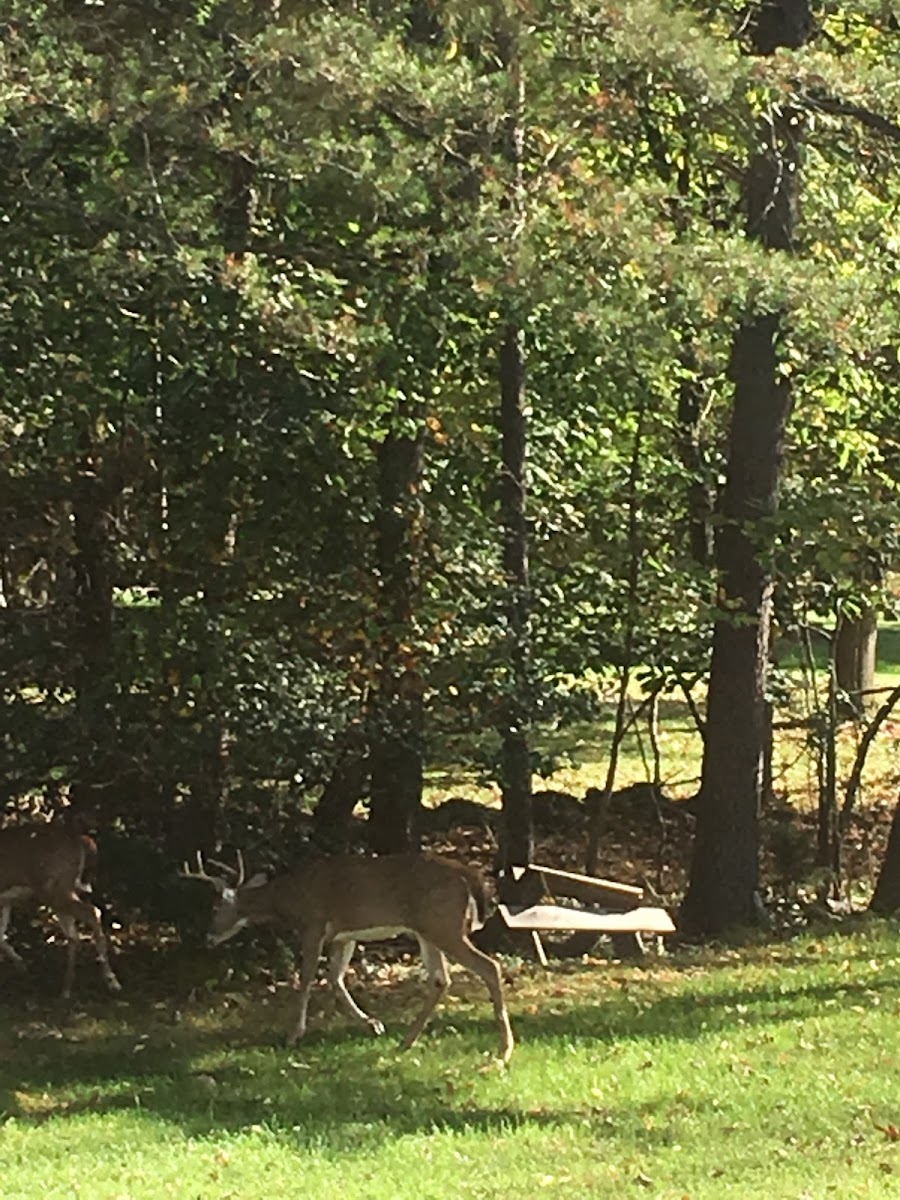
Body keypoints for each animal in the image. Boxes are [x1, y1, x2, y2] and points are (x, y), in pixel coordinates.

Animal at [0, 820, 122, 998]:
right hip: (60, 890)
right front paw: (22, 966)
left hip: (53, 887)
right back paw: (66, 989)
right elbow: (1, 936)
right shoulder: (5, 901)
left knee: (92, 913)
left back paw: (112, 981)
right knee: (74, 933)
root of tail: (80, 839)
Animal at [183, 849, 513, 1065]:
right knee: (440, 979)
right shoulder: (344, 935)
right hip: (427, 929)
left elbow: (306, 979)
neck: (288, 897)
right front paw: (373, 1024)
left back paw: (504, 1049)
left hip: (443, 924)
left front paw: (293, 1035)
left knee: (489, 966)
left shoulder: (314, 924)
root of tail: (468, 875)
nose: (208, 937)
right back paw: (405, 1043)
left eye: (214, 908)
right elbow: (335, 979)